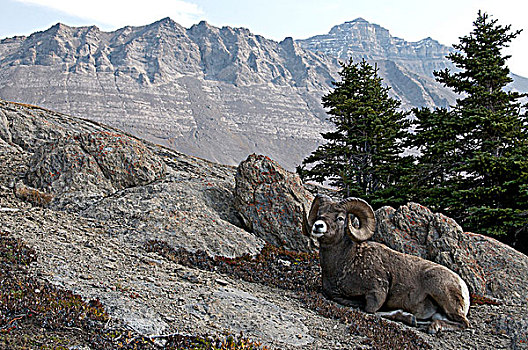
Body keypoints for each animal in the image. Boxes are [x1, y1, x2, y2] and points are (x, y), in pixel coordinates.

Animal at [304, 194, 472, 334]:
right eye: (320, 213)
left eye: (340, 218)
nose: (318, 226)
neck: (346, 262)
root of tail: (462, 285)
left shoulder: (377, 293)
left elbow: (369, 310)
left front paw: (405, 315)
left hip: (441, 291)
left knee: (464, 323)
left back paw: (433, 327)